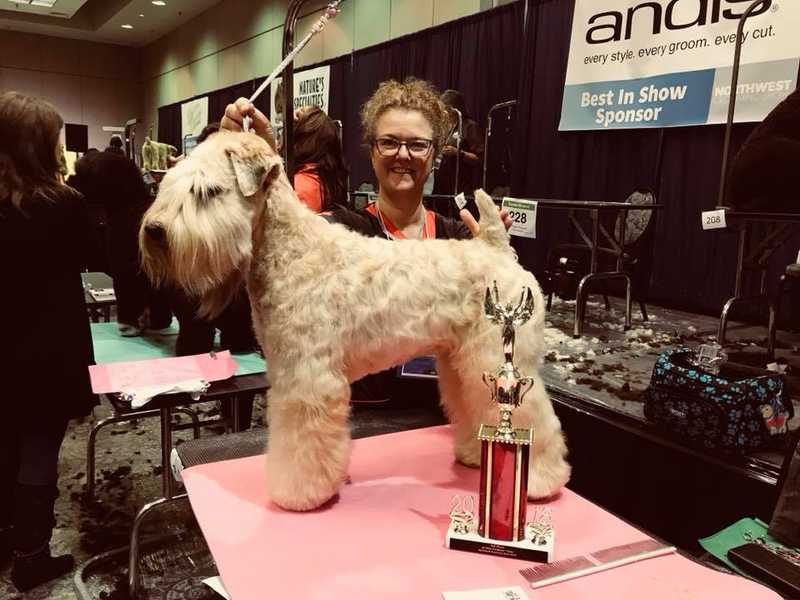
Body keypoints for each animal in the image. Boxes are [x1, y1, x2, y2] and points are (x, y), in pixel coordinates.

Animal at [142, 131, 568, 510]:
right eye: (170, 185)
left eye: (209, 191)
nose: (154, 230)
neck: (292, 251)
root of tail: (496, 250)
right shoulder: (286, 373)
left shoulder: (308, 380)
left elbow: (302, 442)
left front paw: (299, 493)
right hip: (461, 362)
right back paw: (477, 455)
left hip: (498, 360)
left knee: (537, 420)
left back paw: (540, 481)